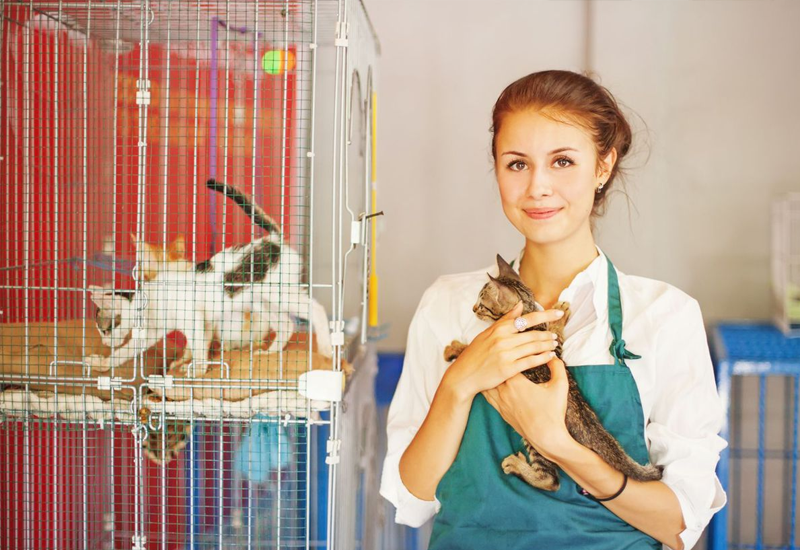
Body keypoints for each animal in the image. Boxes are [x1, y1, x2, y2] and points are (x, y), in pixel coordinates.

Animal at [88, 179, 334, 378]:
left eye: (104, 329)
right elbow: (125, 352)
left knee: (316, 309)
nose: (103, 341)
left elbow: (197, 345)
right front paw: (102, 363)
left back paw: (326, 348)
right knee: (286, 324)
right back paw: (270, 352)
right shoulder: (155, 332)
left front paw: (197, 369)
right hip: (260, 301)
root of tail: (274, 240)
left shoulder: (193, 318)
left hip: (280, 292)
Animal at [444, 256, 664, 494]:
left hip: (535, 439)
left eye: (482, 305)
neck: (526, 317)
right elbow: (556, 335)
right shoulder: (552, 348)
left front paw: (455, 348)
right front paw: (560, 315)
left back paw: (519, 467)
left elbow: (470, 350)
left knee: (551, 480)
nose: (473, 308)